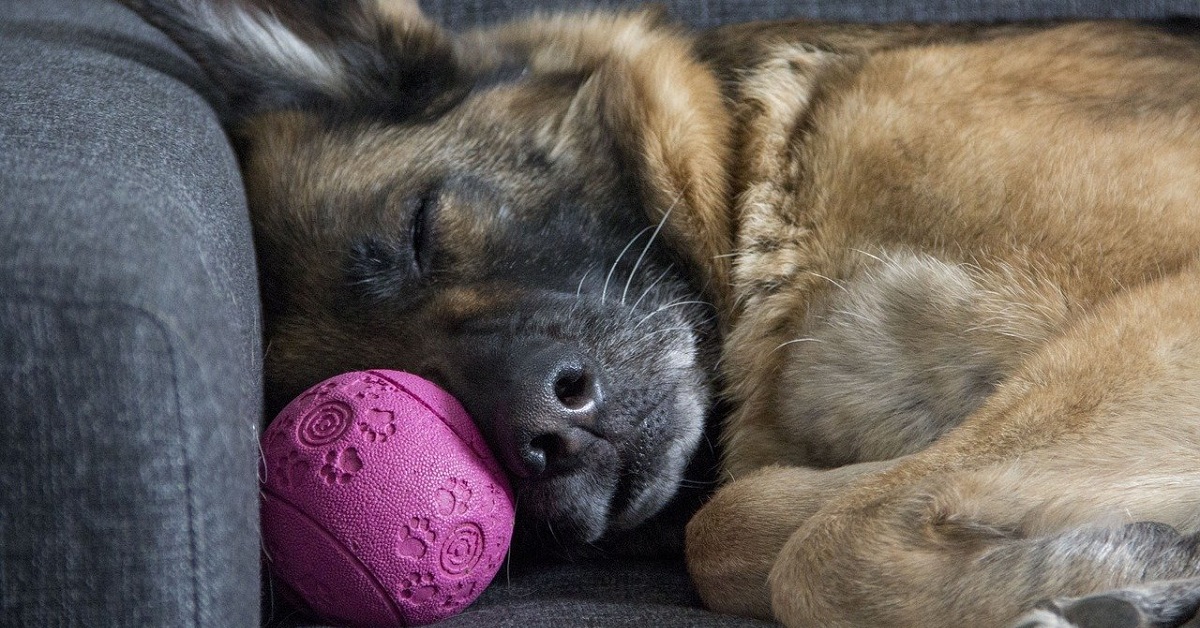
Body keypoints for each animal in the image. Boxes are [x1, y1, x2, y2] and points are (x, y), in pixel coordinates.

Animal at [124, 0, 1200, 624]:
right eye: (377, 385)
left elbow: (824, 544)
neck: (762, 172)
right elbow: (738, 528)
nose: (546, 436)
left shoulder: (1168, 303)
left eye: (421, 227)